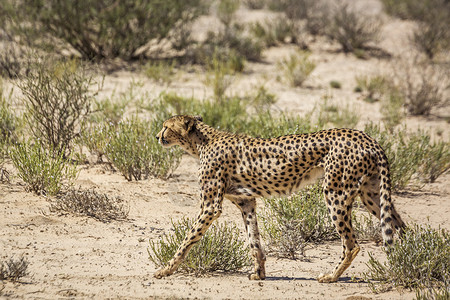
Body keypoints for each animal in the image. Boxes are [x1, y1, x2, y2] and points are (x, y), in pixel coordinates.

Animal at [154, 115, 404, 284]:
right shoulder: (246, 202)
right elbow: (254, 240)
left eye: (166, 126)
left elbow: (188, 239)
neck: (201, 142)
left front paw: (165, 269)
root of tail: (366, 136)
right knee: (400, 228)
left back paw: (331, 276)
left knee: (351, 245)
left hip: (336, 193)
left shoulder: (210, 207)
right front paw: (259, 273)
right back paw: (408, 260)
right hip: (372, 195)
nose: (157, 136)